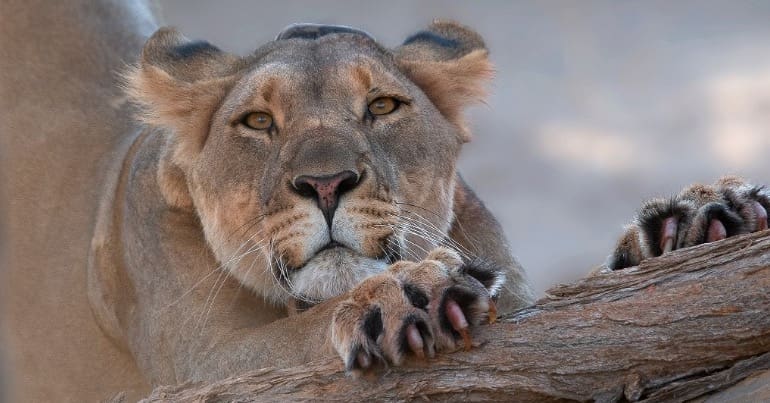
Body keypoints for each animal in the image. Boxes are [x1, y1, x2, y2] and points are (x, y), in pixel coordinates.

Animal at [2, 2, 769, 402]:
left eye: (381, 106)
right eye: (258, 121)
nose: (325, 184)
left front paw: (700, 218)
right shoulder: (197, 367)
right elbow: (301, 332)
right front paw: (403, 298)